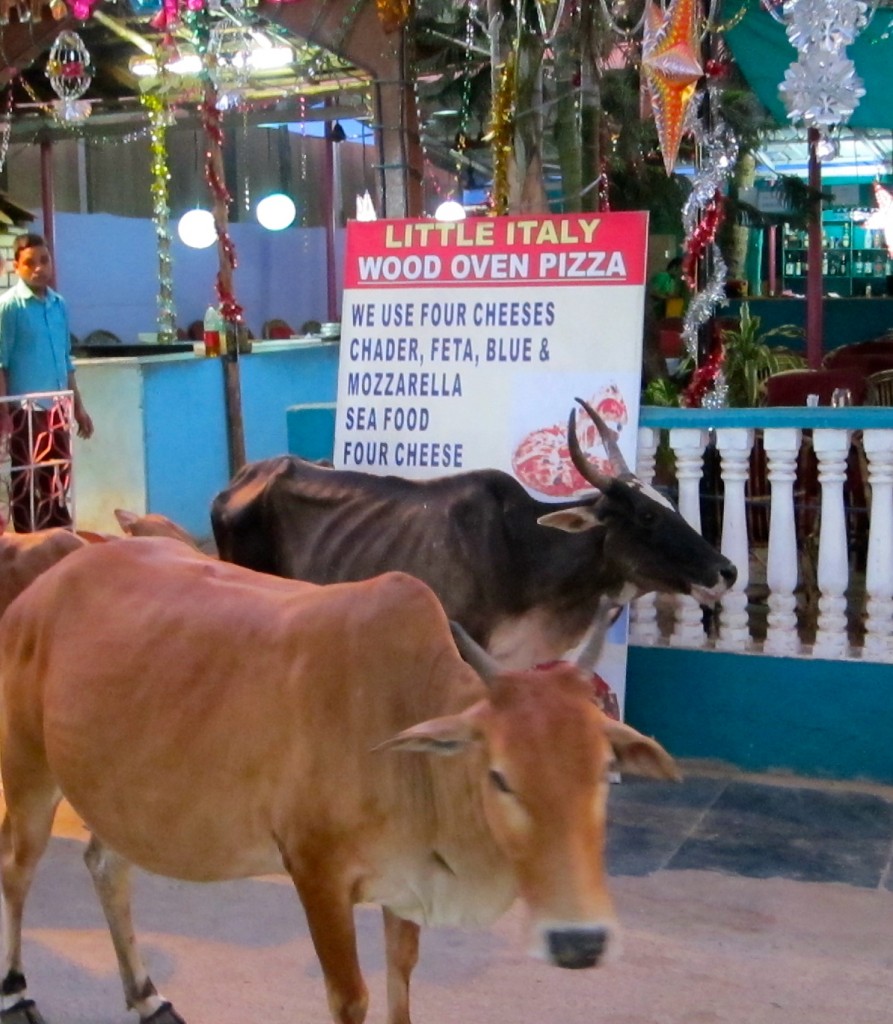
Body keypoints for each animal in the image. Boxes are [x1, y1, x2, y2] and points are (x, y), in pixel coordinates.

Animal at [0, 540, 675, 1024]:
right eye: (500, 776)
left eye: (604, 772)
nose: (579, 942)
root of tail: (43, 587)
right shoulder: (316, 871)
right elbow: (351, 999)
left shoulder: (406, 887)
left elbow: (401, 981)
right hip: (31, 774)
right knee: (17, 868)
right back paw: (17, 993)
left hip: (121, 794)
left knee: (106, 868)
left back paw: (146, 996)